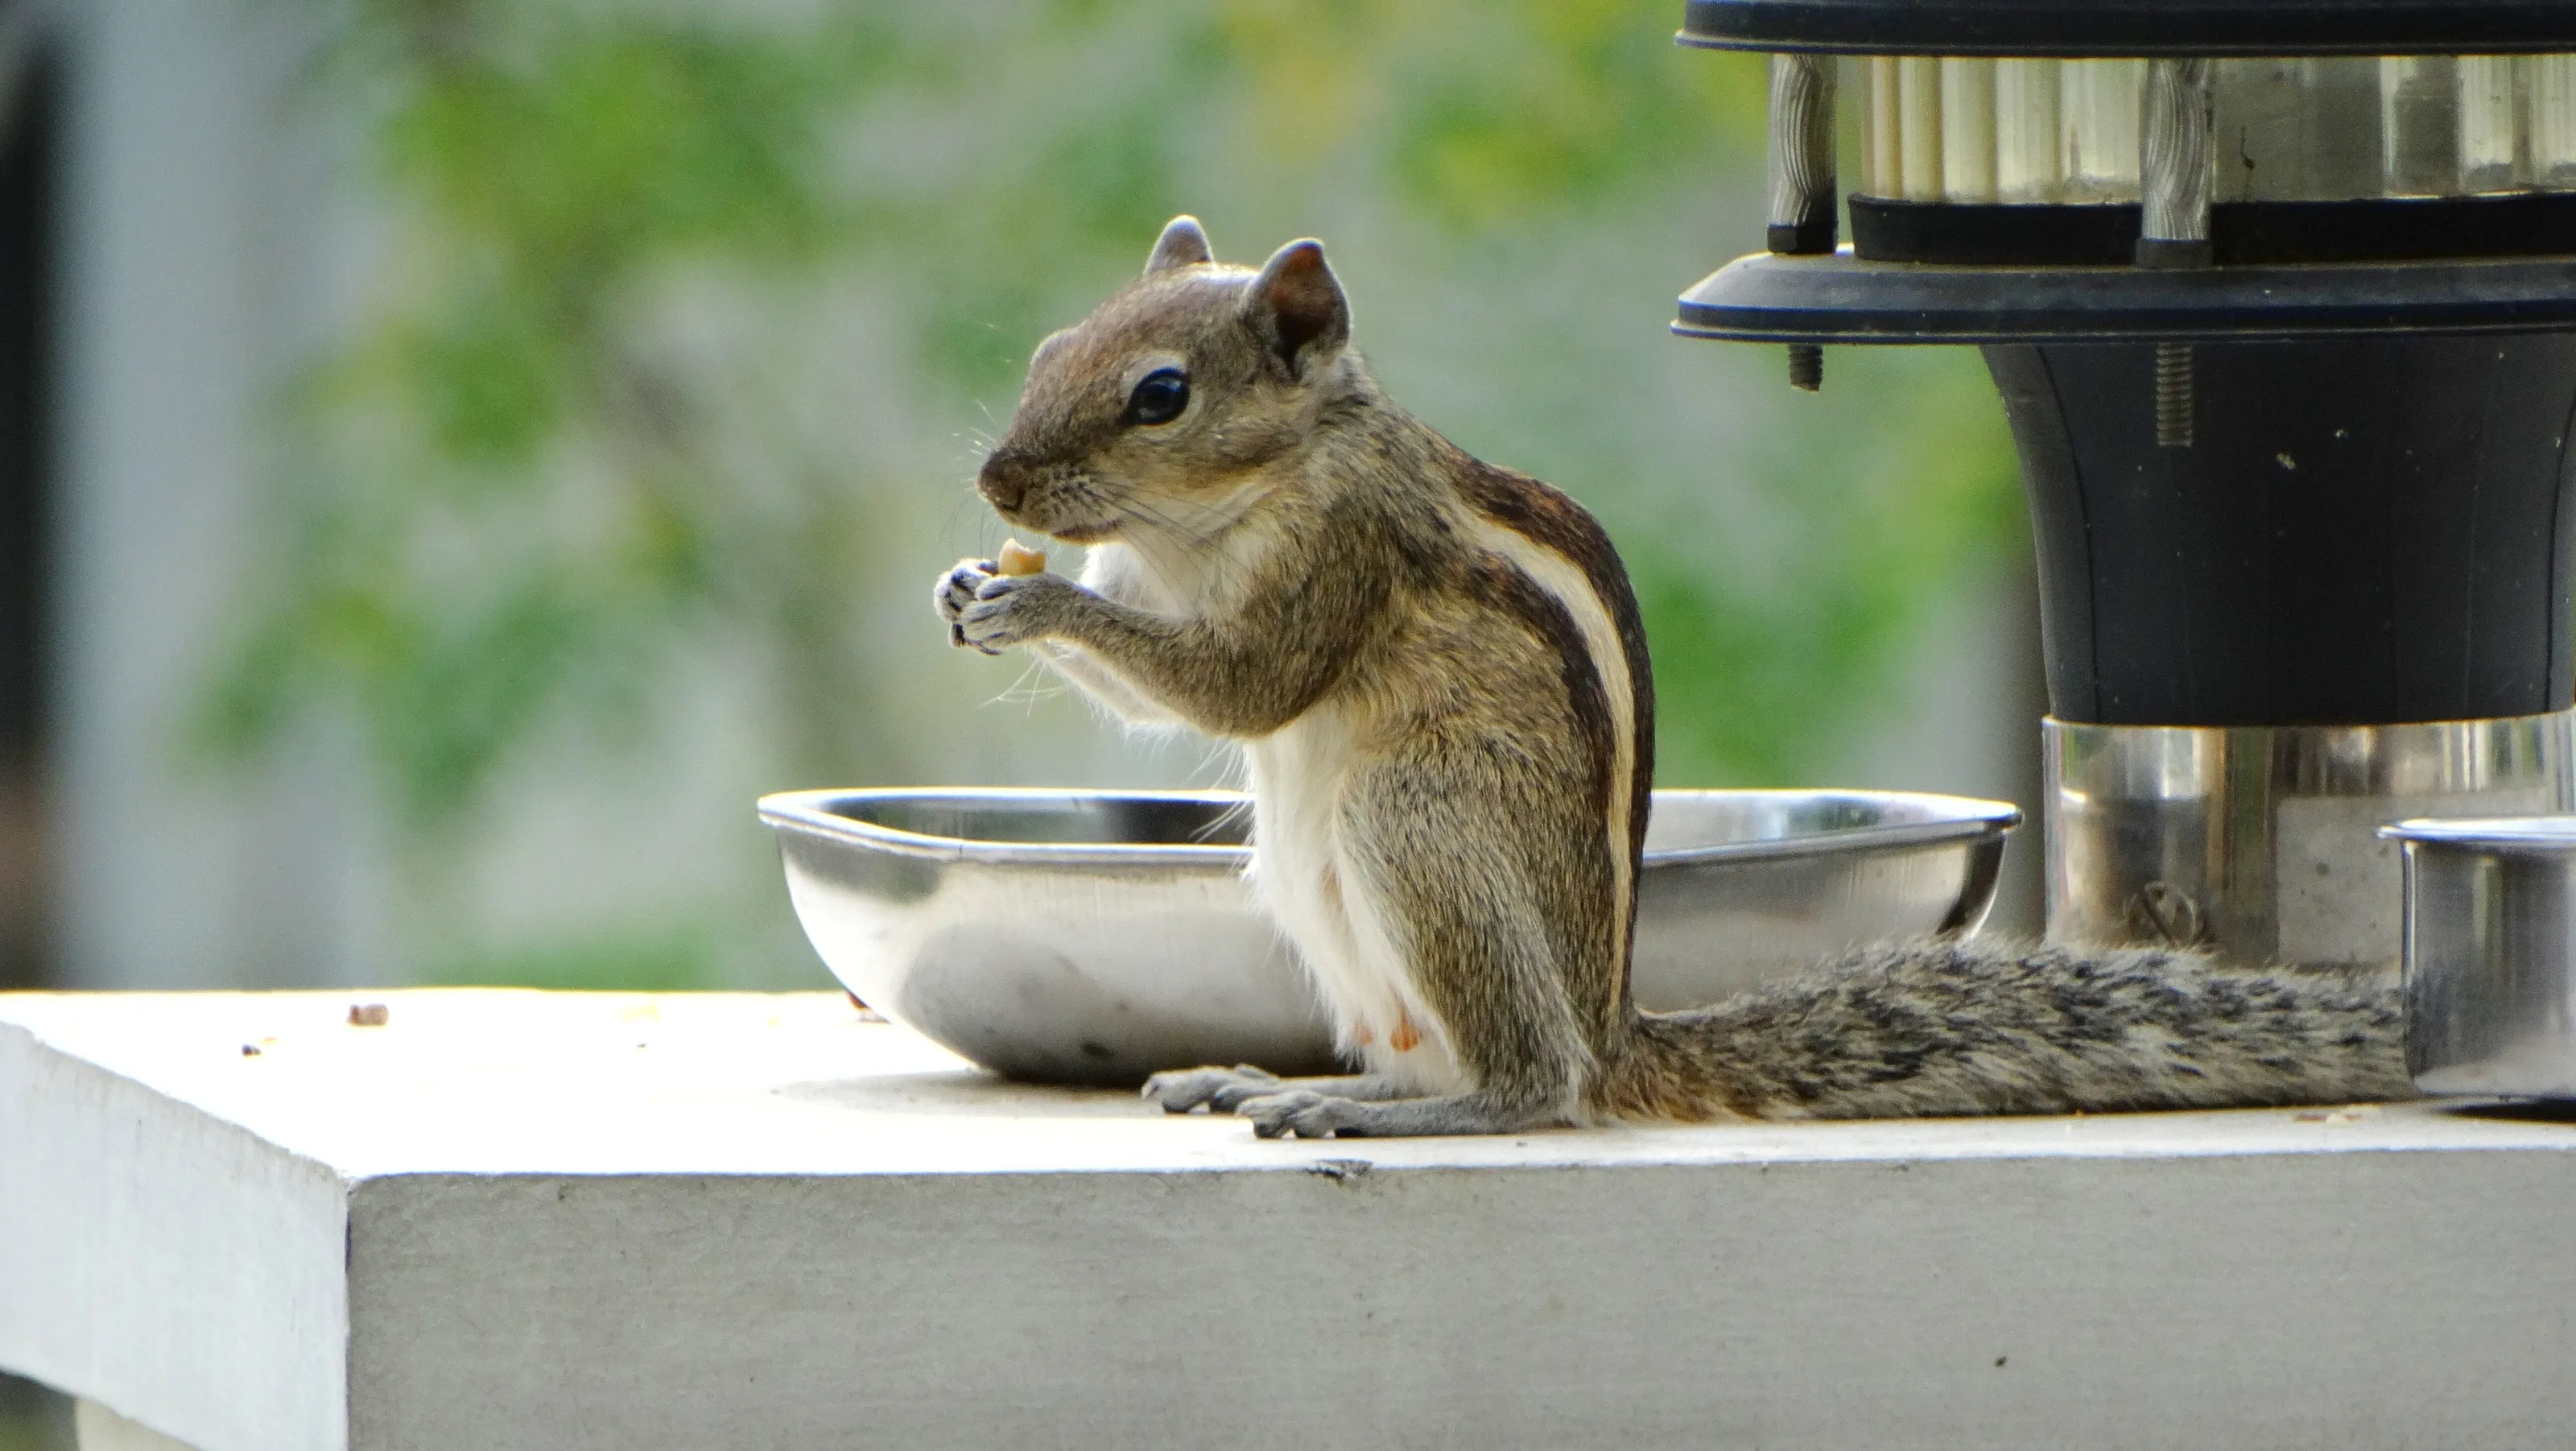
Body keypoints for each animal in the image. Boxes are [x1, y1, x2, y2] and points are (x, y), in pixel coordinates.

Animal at [932, 215, 2412, 1137]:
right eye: (1048, 351)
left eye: (1161, 395)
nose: (996, 484)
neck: (1224, 508)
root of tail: (1617, 1025)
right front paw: (968, 587)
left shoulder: (1343, 550)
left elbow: (1240, 687)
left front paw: (1036, 594)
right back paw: (1265, 1078)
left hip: (1418, 824)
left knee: (1536, 1082)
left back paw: (1398, 1102)